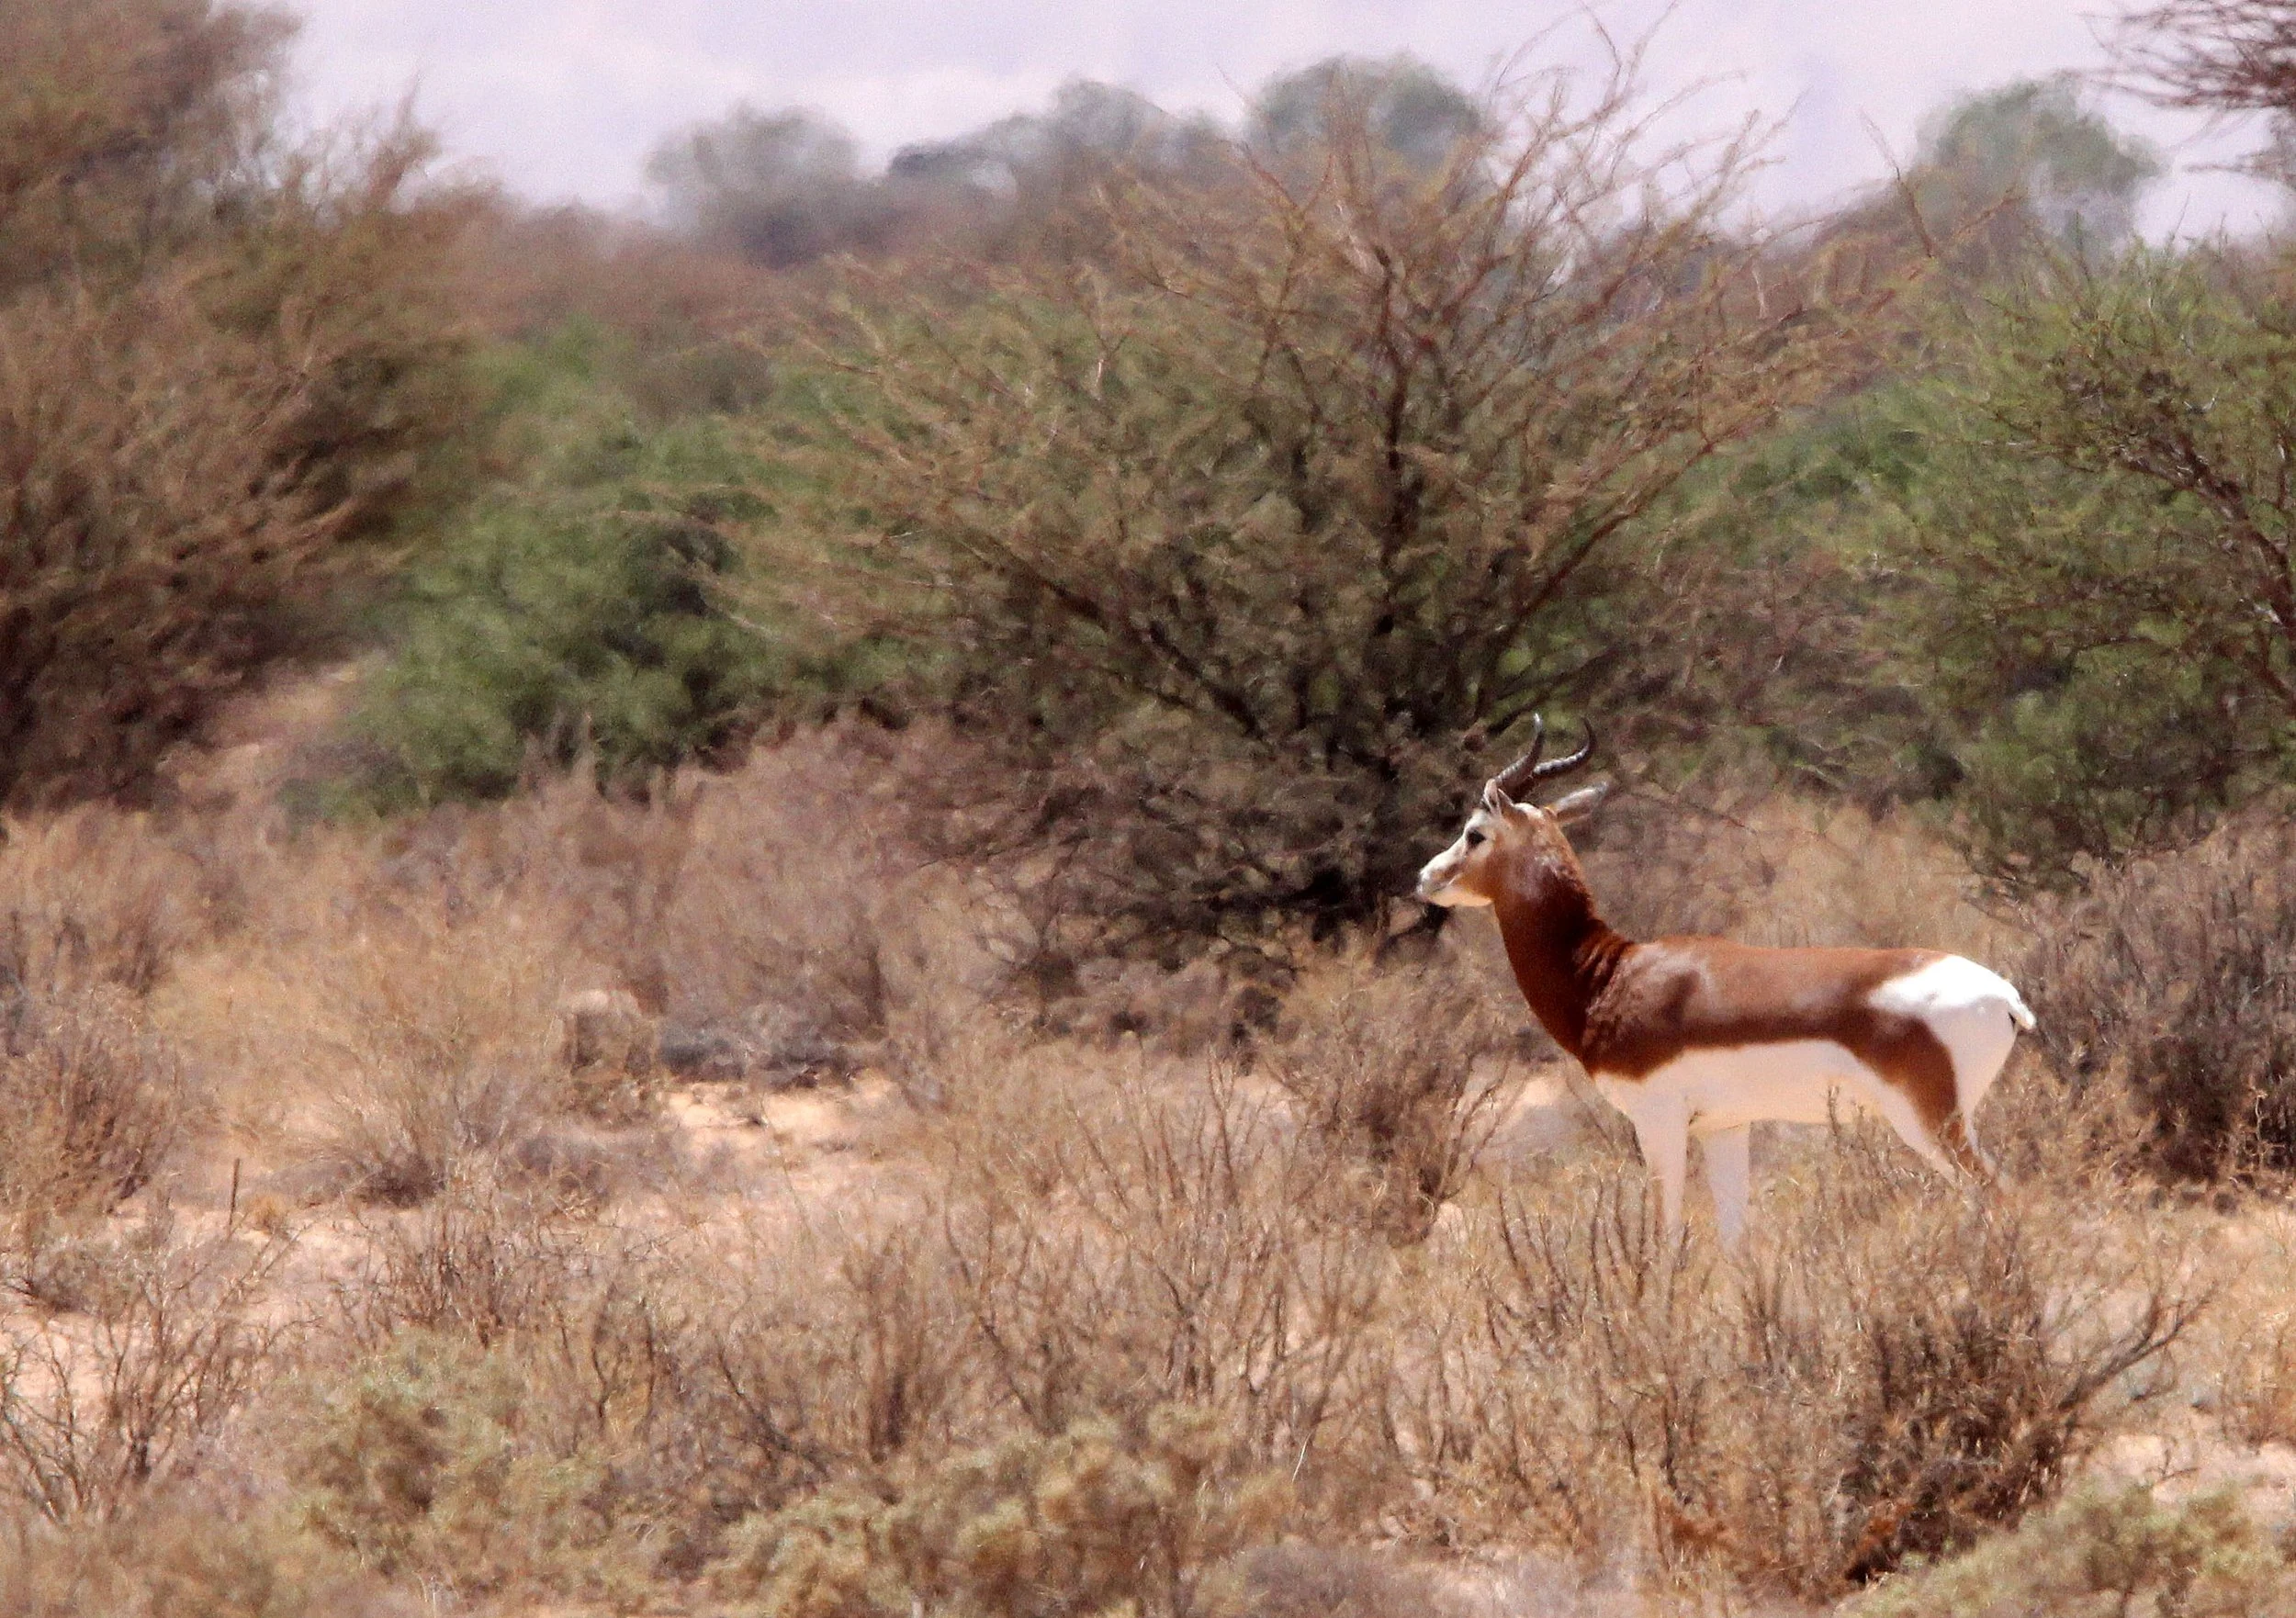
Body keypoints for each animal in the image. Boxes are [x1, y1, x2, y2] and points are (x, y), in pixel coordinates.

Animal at [1414, 719, 2033, 1248]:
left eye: (1474, 833)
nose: (1426, 878)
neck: (1610, 975)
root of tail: (2006, 997)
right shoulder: (1726, 1128)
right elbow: (1736, 1241)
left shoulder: (1659, 1124)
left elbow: (1664, 1239)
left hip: (1930, 1125)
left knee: (2003, 1198)